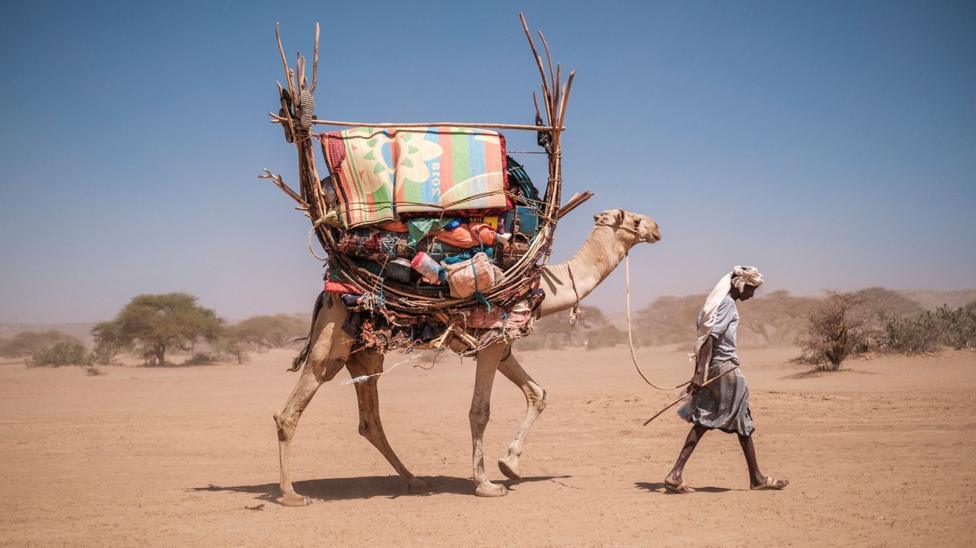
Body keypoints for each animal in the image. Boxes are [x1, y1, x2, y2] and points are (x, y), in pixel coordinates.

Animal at [273, 208, 661, 505]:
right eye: (634, 219)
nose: (657, 228)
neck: (541, 288)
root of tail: (326, 295)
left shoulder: (501, 345)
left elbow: (538, 393)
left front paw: (510, 464)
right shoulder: (490, 346)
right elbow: (480, 412)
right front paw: (486, 484)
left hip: (365, 355)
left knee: (370, 421)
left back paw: (414, 481)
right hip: (332, 343)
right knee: (291, 409)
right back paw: (291, 495)